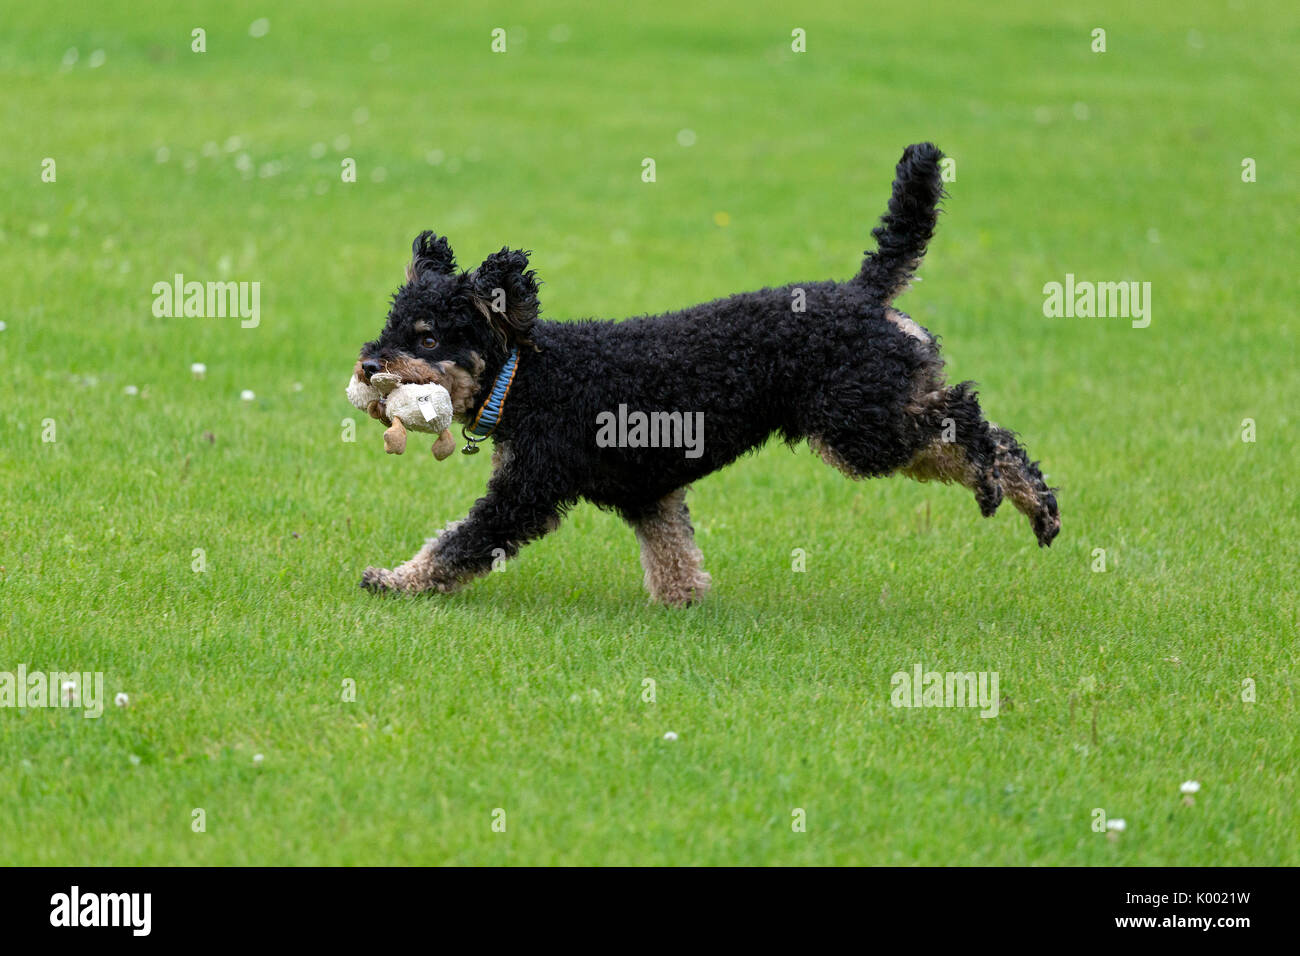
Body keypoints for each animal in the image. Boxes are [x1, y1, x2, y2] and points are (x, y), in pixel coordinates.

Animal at [353, 141, 1055, 606]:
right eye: (390, 328)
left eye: (427, 337)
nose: (367, 364)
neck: (528, 377)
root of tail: (863, 293)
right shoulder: (651, 493)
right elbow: (672, 553)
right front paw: (684, 603)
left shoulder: (527, 492)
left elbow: (457, 544)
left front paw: (395, 579)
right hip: (874, 408)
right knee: (975, 427)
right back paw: (1035, 503)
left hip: (858, 427)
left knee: (965, 419)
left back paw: (1005, 488)